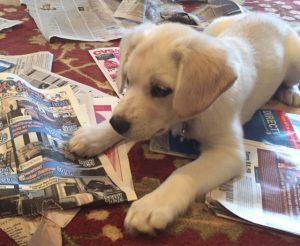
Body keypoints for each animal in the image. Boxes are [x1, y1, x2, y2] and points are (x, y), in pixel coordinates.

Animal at [69, 13, 300, 234]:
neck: (192, 115)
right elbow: (119, 109)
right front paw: (93, 136)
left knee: (291, 81)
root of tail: (271, 17)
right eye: (128, 80)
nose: (117, 124)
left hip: (294, 63)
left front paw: (153, 205)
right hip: (214, 28)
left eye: (161, 90)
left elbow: (184, 172)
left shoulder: (229, 153)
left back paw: (290, 92)